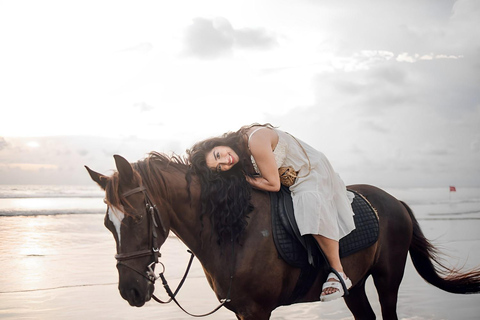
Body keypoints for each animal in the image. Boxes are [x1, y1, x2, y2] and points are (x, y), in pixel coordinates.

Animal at [86, 154, 480, 318]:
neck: (234, 231)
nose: (130, 291)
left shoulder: (257, 311)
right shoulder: (243, 312)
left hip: (387, 280)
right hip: (355, 286)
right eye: (107, 224)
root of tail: (394, 200)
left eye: (137, 218)